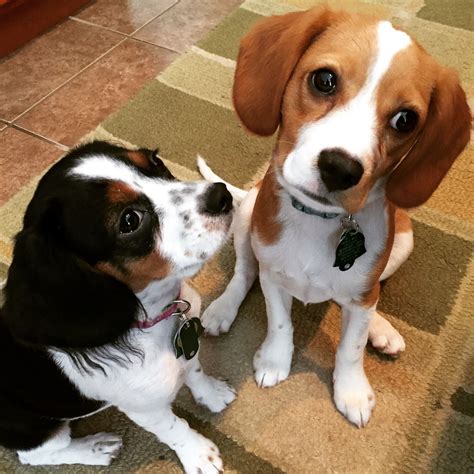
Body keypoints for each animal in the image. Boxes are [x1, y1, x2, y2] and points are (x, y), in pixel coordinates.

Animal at [0, 140, 236, 470]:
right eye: (129, 220)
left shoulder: (188, 351)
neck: (152, 319)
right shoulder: (145, 408)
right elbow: (175, 429)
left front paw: (212, 394)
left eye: (156, 162)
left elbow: (195, 371)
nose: (222, 195)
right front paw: (199, 455)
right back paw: (96, 447)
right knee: (39, 454)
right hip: (34, 428)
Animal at [199, 7, 470, 428]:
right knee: (244, 273)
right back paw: (223, 308)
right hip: (245, 219)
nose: (340, 169)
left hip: (403, 242)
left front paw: (352, 390)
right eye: (324, 80)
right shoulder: (273, 277)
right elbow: (280, 323)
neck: (320, 221)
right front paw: (274, 360)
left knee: (370, 295)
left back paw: (380, 327)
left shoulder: (362, 294)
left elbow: (350, 347)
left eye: (405, 120)